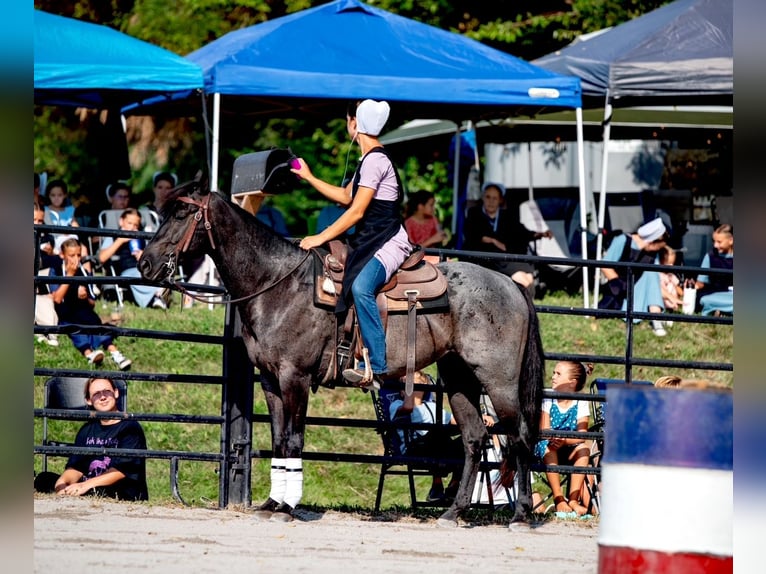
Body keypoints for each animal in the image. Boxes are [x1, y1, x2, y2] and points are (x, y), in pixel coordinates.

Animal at [138, 177, 544, 532]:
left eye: (180, 213)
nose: (145, 263)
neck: (279, 284)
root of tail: (511, 285)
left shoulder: (295, 377)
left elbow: (294, 439)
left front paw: (286, 507)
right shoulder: (270, 380)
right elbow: (279, 439)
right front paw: (271, 503)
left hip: (500, 381)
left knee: (520, 437)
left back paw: (521, 516)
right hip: (460, 379)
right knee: (475, 440)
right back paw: (453, 513)